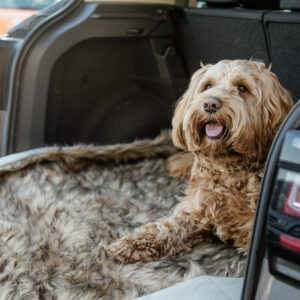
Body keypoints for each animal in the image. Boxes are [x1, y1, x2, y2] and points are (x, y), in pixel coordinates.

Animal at [107, 59, 292, 264]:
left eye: (242, 88)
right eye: (208, 86)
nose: (210, 103)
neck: (228, 168)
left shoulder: (251, 231)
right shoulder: (196, 212)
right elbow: (165, 228)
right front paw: (132, 242)